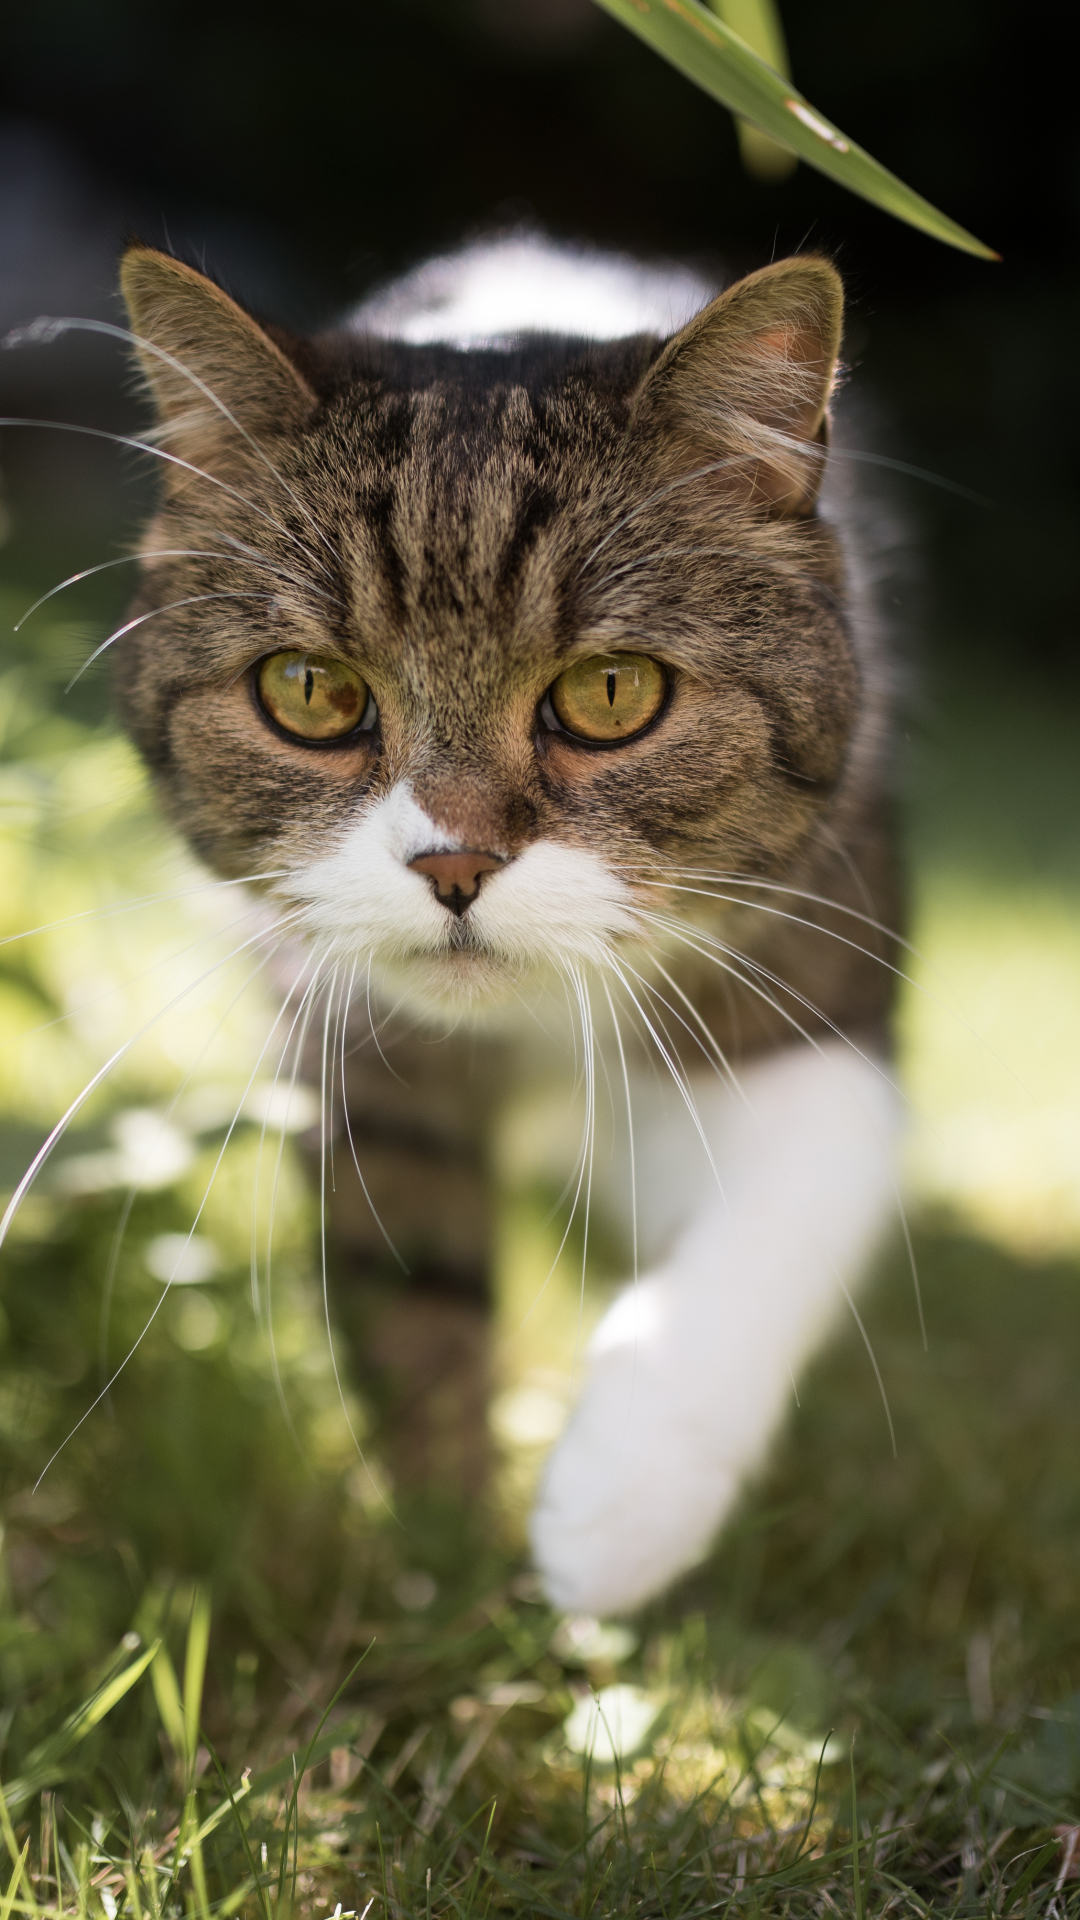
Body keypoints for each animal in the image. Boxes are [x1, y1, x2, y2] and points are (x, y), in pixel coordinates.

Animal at [109, 236, 899, 1620]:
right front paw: (450, 1559)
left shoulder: (814, 969)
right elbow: (420, 1295)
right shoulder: (359, 1054)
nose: (455, 863)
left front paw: (619, 1506)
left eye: (612, 692)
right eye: (310, 691)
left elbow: (789, 1200)